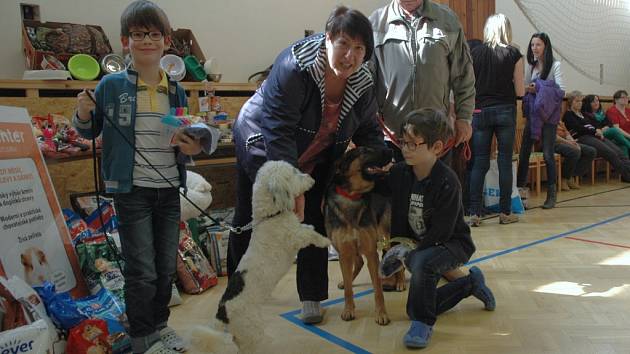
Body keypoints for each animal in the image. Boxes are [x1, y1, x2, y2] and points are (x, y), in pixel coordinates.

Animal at [193, 161, 330, 354]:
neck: (270, 216)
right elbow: (310, 236)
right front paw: (325, 240)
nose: (311, 178)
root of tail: (222, 313)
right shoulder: (294, 237)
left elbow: (307, 229)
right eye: (294, 172)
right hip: (252, 330)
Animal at [326, 145, 404, 324]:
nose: (390, 150)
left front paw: (381, 314)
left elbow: (378, 290)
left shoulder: (371, 253)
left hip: (388, 236)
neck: (352, 196)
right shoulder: (345, 252)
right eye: (365, 151)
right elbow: (348, 289)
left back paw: (400, 282)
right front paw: (348, 309)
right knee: (358, 263)